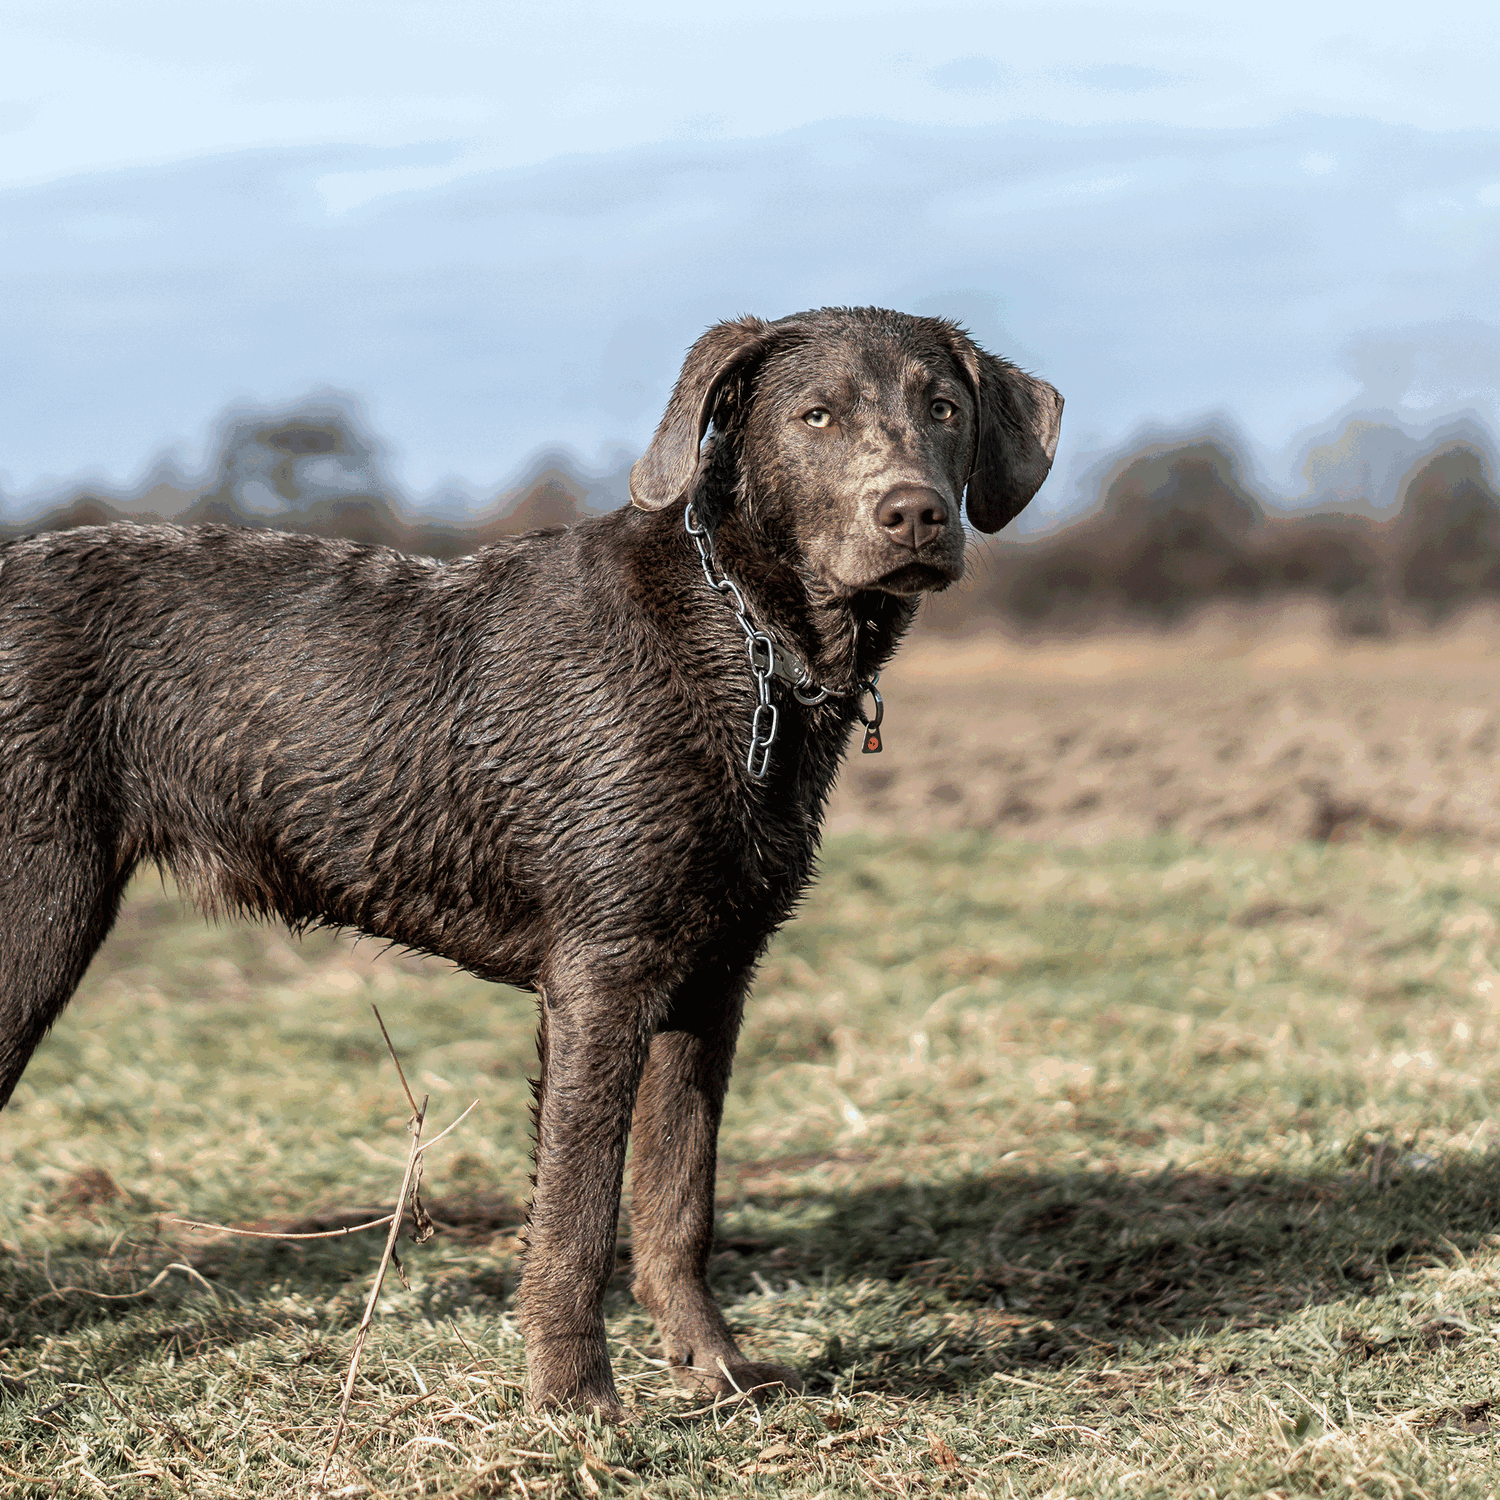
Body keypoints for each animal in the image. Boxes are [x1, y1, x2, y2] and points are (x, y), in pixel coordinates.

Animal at [0, 307, 1062, 1416]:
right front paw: (574, 1395)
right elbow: (578, 1212)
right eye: (816, 415)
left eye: (943, 409)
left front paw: (716, 1370)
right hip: (36, 913)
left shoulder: (713, 980)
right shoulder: (602, 975)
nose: (915, 515)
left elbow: (678, 1201)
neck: (748, 644)